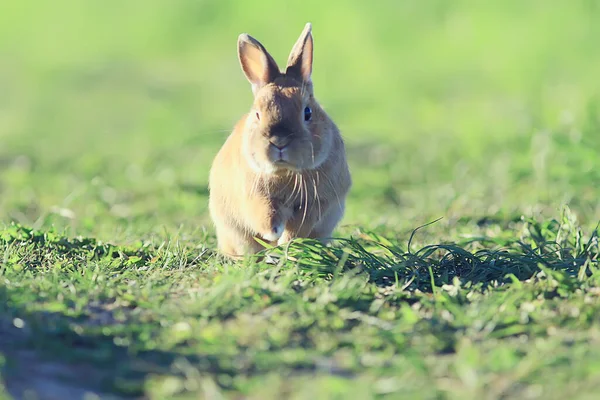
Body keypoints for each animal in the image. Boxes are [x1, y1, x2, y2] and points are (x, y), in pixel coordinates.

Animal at [210, 22, 352, 260]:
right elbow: (263, 211)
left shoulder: (319, 201)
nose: (279, 142)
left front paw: (286, 241)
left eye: (307, 112)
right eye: (258, 114)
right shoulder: (253, 193)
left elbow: (301, 224)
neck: (286, 173)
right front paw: (272, 232)